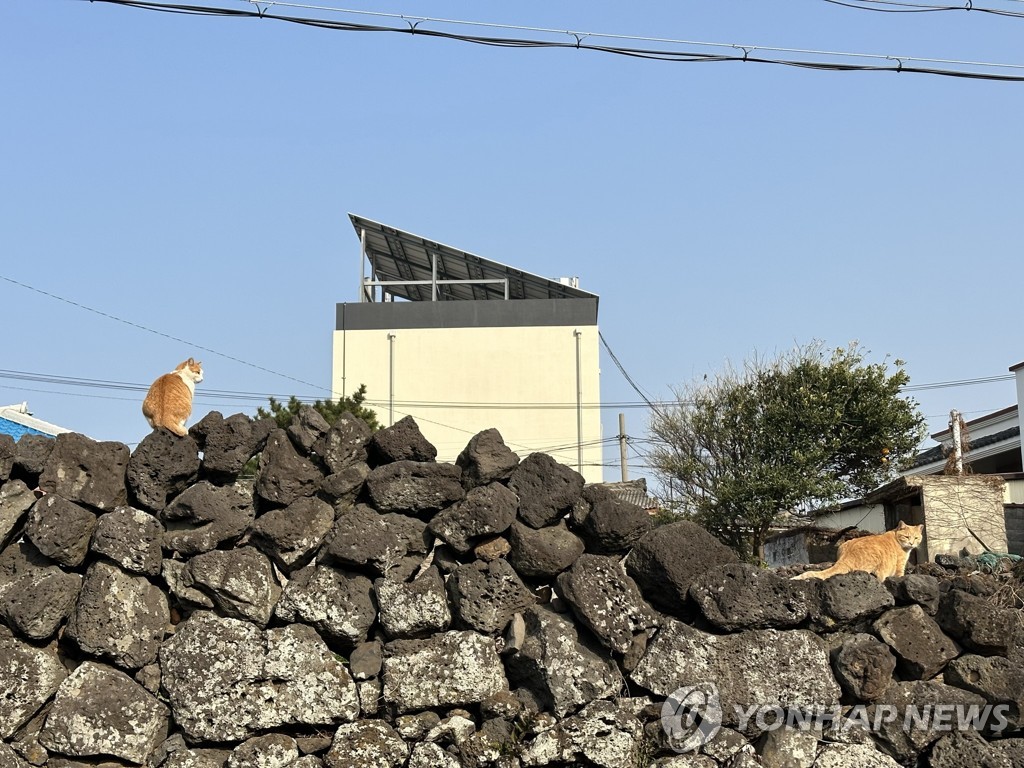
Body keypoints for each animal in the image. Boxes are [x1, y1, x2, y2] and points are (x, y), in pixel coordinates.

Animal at [786, 524, 925, 581]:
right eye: (907, 537)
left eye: (916, 538)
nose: (912, 543)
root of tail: (845, 557)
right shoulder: (900, 565)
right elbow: (900, 575)